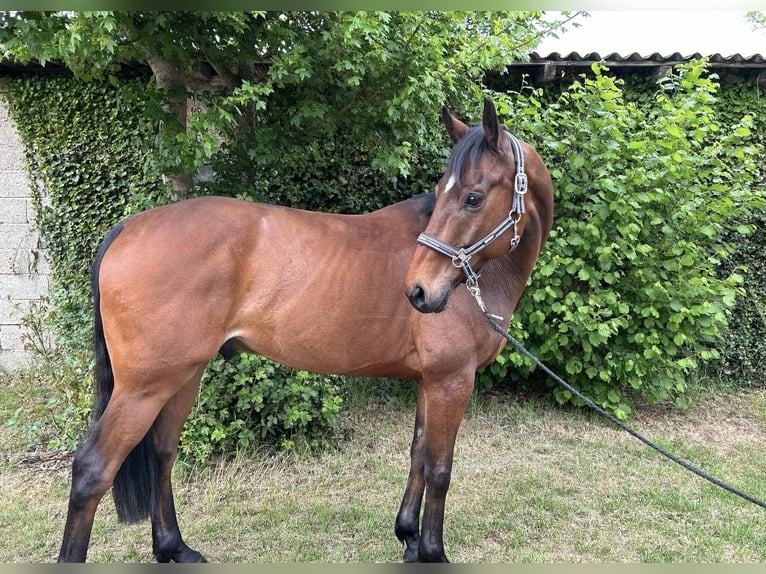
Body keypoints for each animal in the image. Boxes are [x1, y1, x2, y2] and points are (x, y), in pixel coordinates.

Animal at [57, 97, 553, 563]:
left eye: (472, 198)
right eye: (450, 193)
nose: (418, 291)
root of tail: (129, 227)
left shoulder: (430, 382)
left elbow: (418, 454)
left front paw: (409, 538)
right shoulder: (452, 381)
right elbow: (439, 468)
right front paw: (432, 552)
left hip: (182, 377)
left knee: (162, 453)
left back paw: (175, 548)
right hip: (143, 388)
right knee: (93, 470)